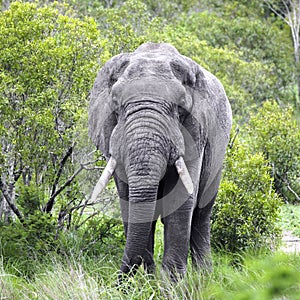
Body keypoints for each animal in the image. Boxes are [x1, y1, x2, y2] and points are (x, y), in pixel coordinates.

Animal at [87, 41, 232, 278]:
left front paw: (171, 282)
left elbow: (181, 199)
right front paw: (148, 279)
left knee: (202, 211)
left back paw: (204, 276)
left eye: (180, 106)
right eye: (116, 104)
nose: (117, 281)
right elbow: (129, 199)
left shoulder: (195, 132)